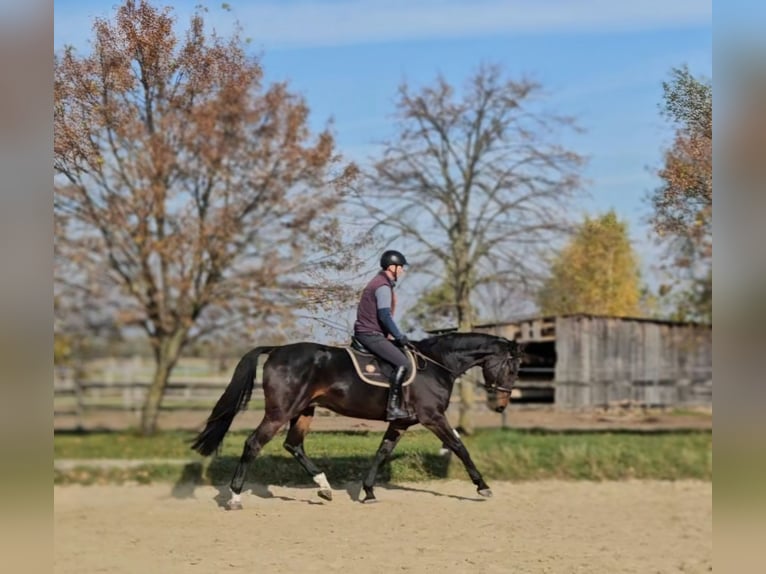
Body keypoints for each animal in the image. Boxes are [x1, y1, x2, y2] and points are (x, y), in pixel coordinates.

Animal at [194, 330, 528, 510]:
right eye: (513, 368)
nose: (500, 405)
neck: (437, 365)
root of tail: (277, 350)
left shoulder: (400, 422)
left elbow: (382, 453)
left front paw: (368, 491)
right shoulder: (432, 417)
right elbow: (460, 448)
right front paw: (483, 487)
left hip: (304, 411)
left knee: (294, 445)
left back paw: (324, 487)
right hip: (280, 412)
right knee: (254, 444)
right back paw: (235, 497)